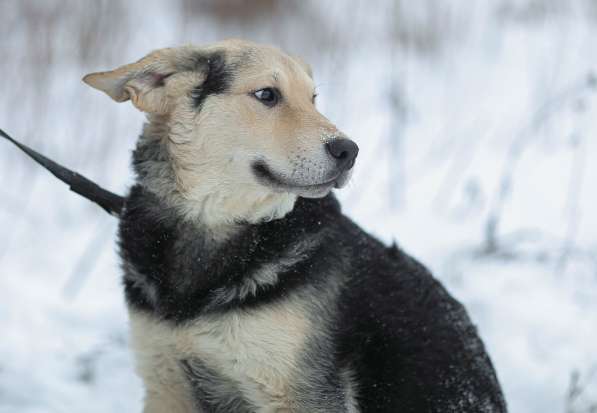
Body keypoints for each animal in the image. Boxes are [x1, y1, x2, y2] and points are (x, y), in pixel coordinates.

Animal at [81, 39, 506, 412]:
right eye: (267, 95)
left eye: (313, 99)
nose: (349, 151)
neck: (214, 224)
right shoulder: (166, 378)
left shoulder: (299, 392)